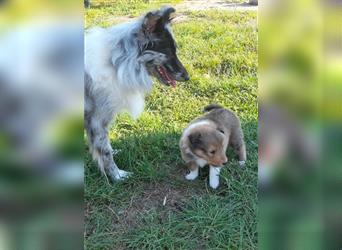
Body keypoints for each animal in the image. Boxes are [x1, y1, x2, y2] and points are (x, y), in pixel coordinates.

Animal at [84, 6, 188, 181]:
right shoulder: (97, 119)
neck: (115, 63)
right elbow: (104, 151)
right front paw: (117, 176)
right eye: (167, 51)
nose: (188, 77)